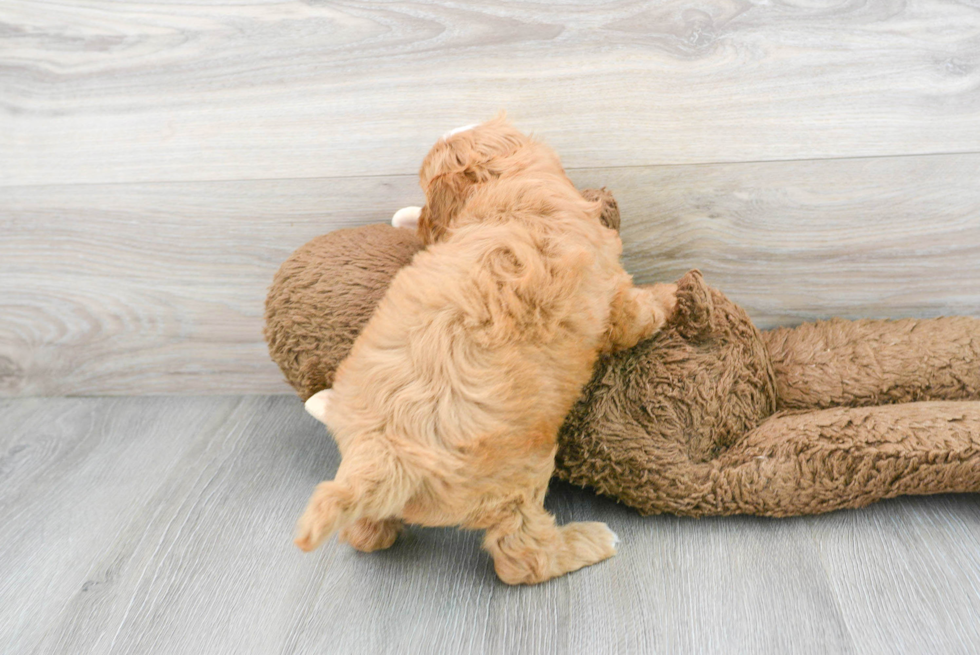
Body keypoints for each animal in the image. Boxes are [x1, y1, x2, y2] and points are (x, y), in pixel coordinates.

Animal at [292, 116, 672, 584]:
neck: (509, 197)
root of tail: (387, 454)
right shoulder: (610, 294)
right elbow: (636, 315)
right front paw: (671, 296)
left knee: (365, 532)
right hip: (519, 477)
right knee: (521, 556)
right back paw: (589, 542)